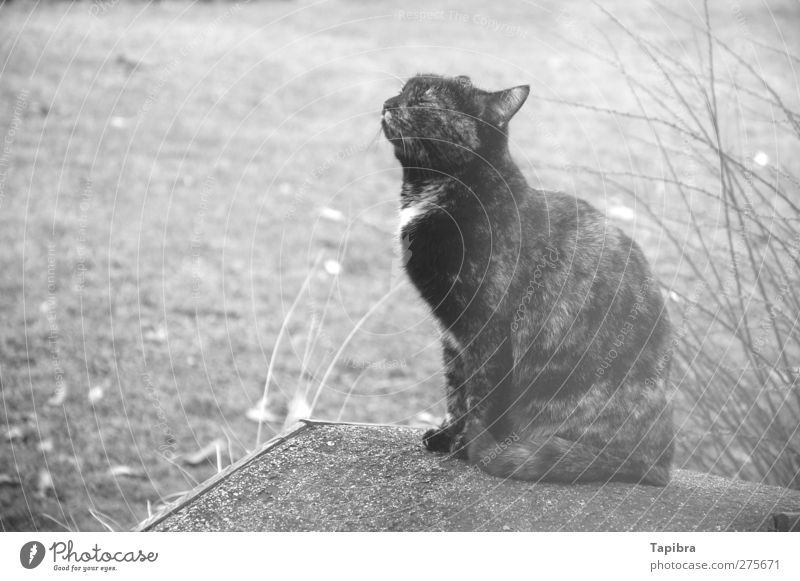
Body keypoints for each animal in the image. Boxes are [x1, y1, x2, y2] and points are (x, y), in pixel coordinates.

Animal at [382, 75, 676, 488]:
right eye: (403, 89)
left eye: (423, 100)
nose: (387, 103)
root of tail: (660, 462)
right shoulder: (453, 335)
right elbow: (455, 388)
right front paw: (446, 434)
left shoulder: (489, 331)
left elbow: (479, 396)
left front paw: (465, 445)